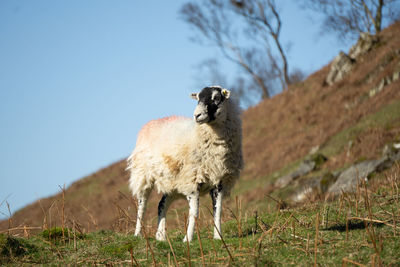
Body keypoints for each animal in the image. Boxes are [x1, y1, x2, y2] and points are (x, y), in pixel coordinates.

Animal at [126, 86, 242, 243]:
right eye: (198, 98)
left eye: (216, 98)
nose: (197, 115)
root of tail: (152, 122)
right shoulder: (192, 182)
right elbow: (194, 212)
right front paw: (188, 239)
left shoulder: (219, 181)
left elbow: (218, 211)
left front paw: (218, 237)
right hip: (143, 174)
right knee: (142, 204)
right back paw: (138, 234)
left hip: (172, 181)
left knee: (161, 204)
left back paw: (160, 236)